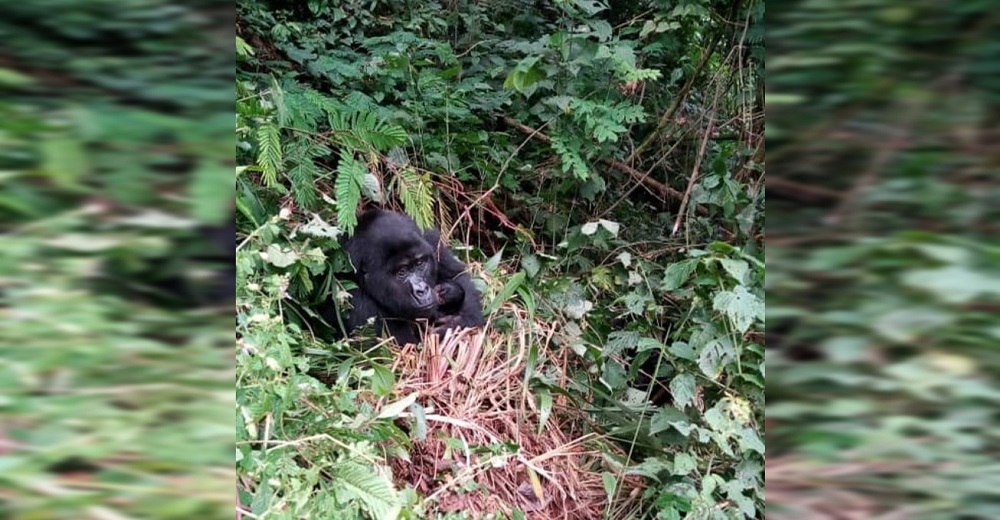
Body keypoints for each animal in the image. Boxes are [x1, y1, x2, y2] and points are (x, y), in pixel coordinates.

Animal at [316, 207, 480, 346]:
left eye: (419, 264)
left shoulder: (431, 240)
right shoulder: (354, 300)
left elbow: (458, 275)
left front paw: (458, 320)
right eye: (401, 273)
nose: (422, 290)